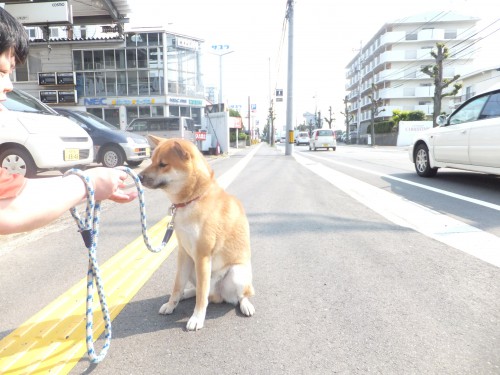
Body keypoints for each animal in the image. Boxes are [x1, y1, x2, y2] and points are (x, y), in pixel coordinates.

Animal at [139, 139, 256, 332]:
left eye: (163, 164)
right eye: (151, 160)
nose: (139, 177)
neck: (192, 199)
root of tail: (218, 295)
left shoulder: (202, 255)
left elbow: (202, 295)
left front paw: (197, 318)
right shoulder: (184, 253)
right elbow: (177, 285)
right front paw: (171, 304)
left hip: (236, 273)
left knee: (236, 295)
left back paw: (246, 304)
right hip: (193, 267)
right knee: (201, 291)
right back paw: (186, 294)